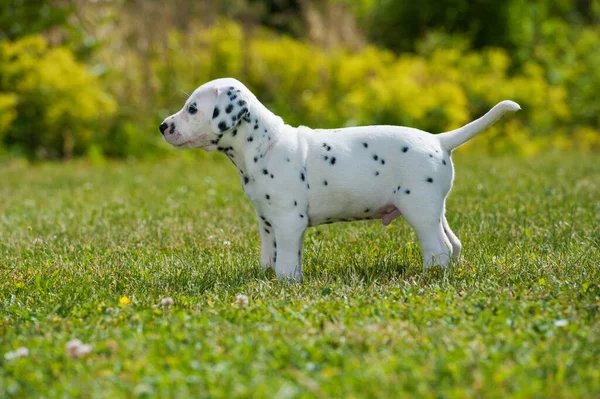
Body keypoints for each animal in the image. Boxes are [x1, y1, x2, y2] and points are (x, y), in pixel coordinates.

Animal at [159, 78, 520, 282]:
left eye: (192, 109)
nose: (163, 126)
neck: (265, 144)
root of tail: (439, 139)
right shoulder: (267, 221)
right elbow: (271, 255)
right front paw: (267, 277)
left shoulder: (288, 220)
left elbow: (286, 259)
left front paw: (285, 283)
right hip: (434, 210)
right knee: (453, 244)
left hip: (419, 211)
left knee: (438, 250)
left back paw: (429, 276)